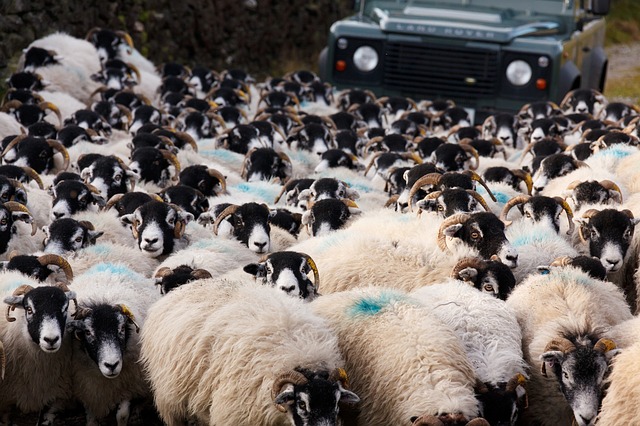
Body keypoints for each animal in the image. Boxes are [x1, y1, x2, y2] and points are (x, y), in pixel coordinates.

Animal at [65, 262, 160, 426]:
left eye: (122, 329)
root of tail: (111, 264)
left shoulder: (129, 382)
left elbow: (122, 415)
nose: (111, 365)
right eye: (88, 332)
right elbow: (91, 416)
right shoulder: (86, 386)